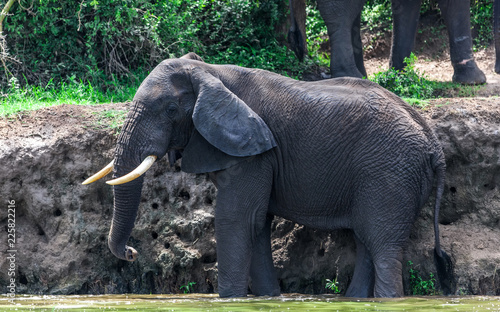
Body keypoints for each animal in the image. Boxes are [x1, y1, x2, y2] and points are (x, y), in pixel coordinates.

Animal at [83, 53, 454, 298]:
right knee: (367, 241)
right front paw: (267, 299)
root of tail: (434, 144)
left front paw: (230, 300)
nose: (132, 253)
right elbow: (257, 223)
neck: (210, 71)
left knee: (383, 245)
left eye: (171, 110)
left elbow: (236, 219)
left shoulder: (255, 152)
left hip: (391, 172)